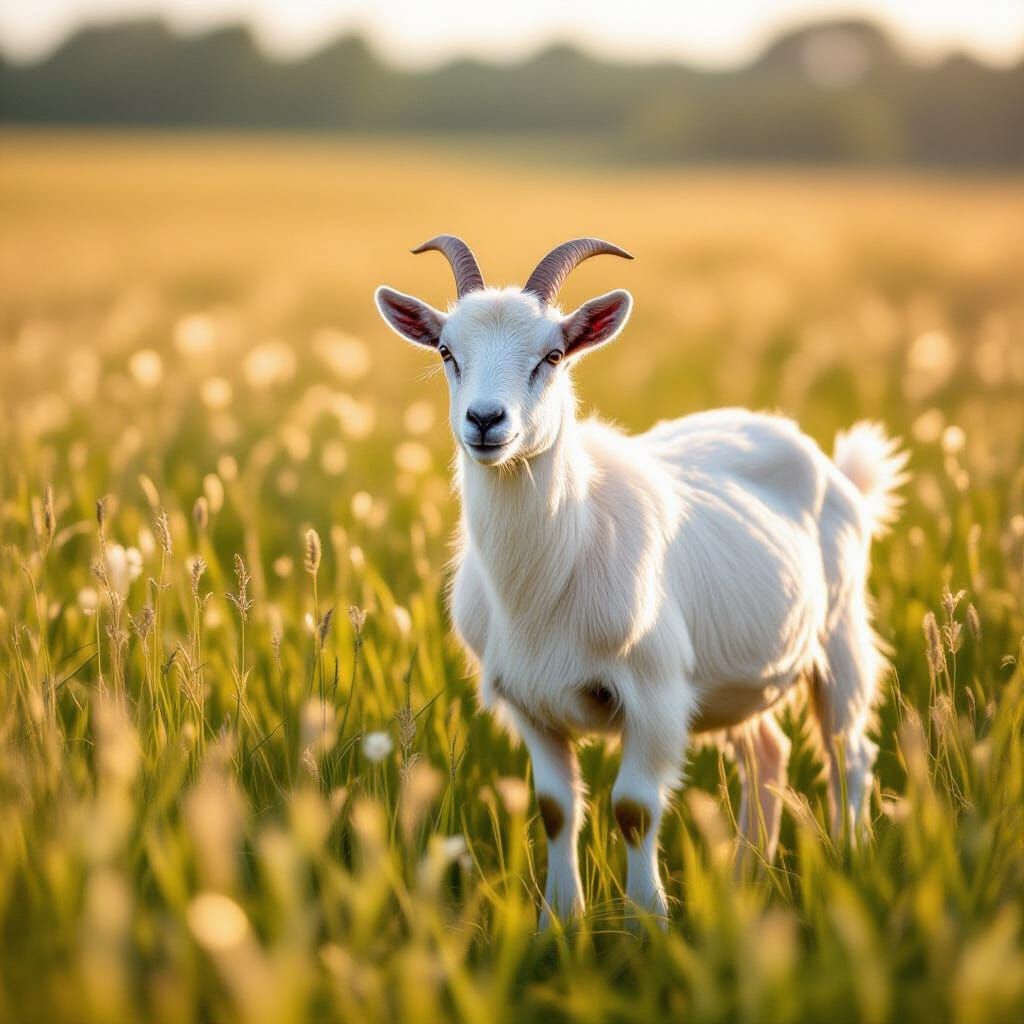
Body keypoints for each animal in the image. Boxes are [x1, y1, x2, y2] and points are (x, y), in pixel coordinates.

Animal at [375, 235, 908, 924]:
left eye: (553, 355)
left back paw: (850, 862)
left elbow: (634, 809)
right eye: (447, 352)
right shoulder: (529, 703)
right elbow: (555, 810)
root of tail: (835, 468)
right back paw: (747, 879)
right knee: (767, 754)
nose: (486, 421)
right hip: (741, 679)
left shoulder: (656, 694)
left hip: (841, 633)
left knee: (850, 752)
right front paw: (558, 923)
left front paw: (648, 925)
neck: (548, 578)